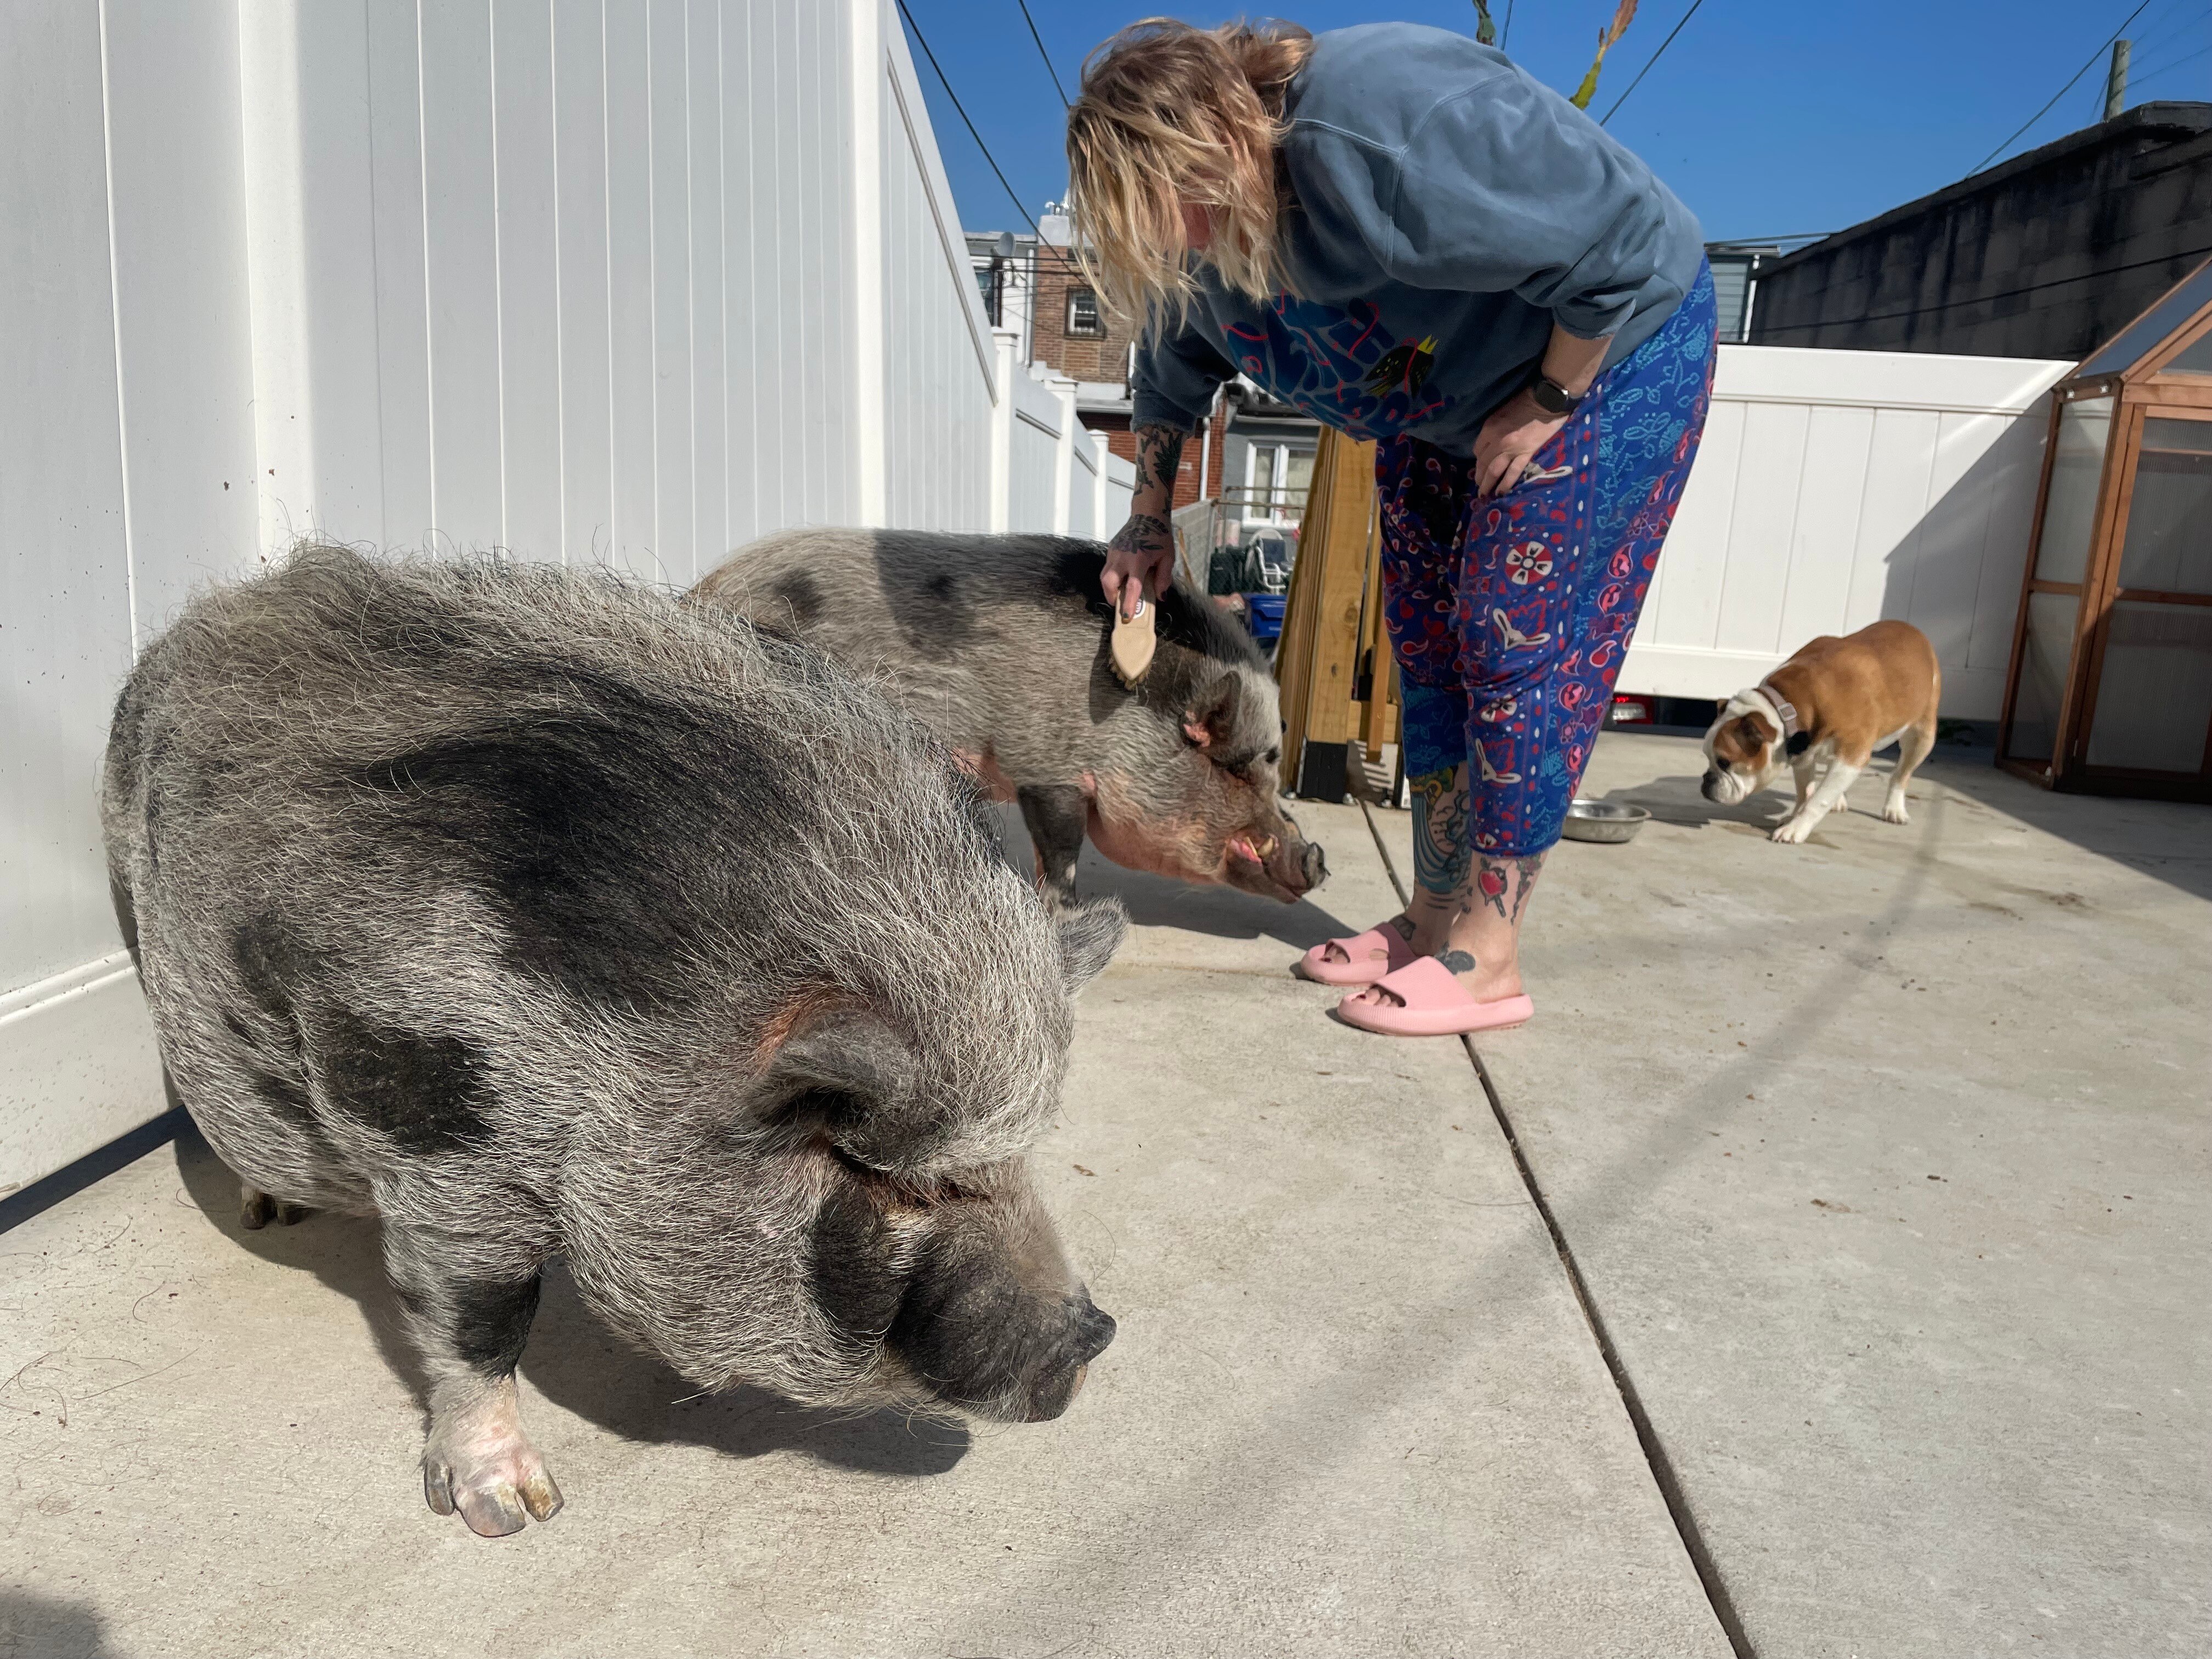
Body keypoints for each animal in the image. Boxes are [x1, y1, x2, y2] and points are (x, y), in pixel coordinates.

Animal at [101, 543, 1124, 1537]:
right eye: (906, 1185)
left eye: (1015, 1160)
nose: (1097, 1334)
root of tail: (208, 620)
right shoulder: (437, 1137)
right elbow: (478, 1319)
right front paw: (515, 1514)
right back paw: (266, 1210)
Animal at [692, 531, 1328, 908]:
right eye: (1239, 767)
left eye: (1274, 770)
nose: (1317, 859)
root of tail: (702, 591)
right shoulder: (1048, 769)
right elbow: (1061, 859)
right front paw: (1060, 915)